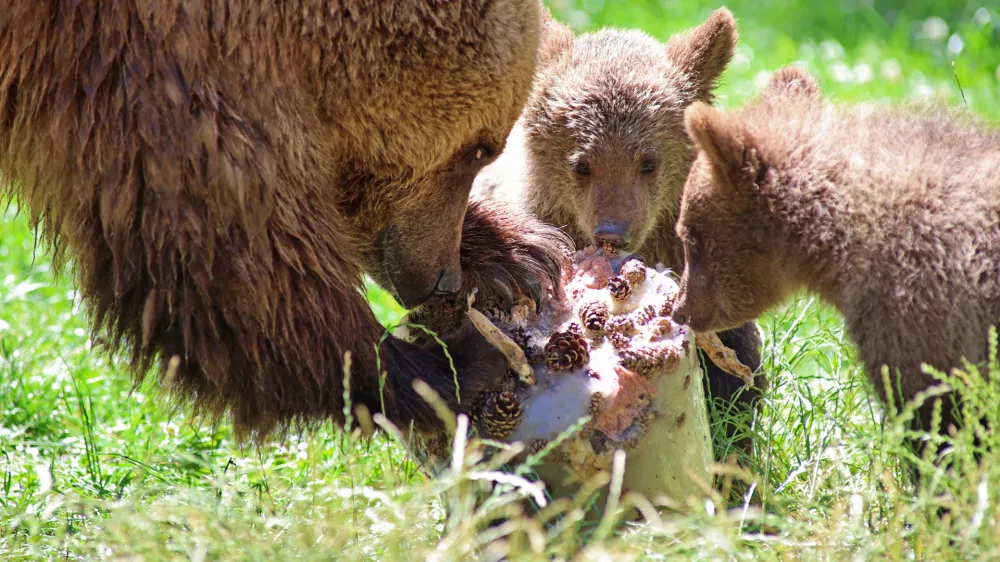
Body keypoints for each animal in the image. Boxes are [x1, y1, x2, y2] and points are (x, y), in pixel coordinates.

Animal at [0, 1, 572, 440]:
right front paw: (450, 366)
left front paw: (514, 257)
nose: (441, 279)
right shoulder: (149, 63)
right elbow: (226, 255)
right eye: (477, 150)